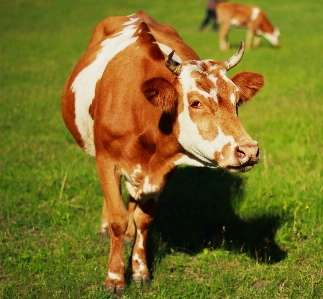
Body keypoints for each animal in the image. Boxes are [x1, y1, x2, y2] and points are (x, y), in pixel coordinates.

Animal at [61, 9, 266, 298]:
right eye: (195, 102)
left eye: (237, 101)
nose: (248, 150)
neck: (142, 114)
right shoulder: (106, 160)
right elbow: (117, 218)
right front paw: (114, 277)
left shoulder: (163, 171)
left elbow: (144, 219)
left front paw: (140, 270)